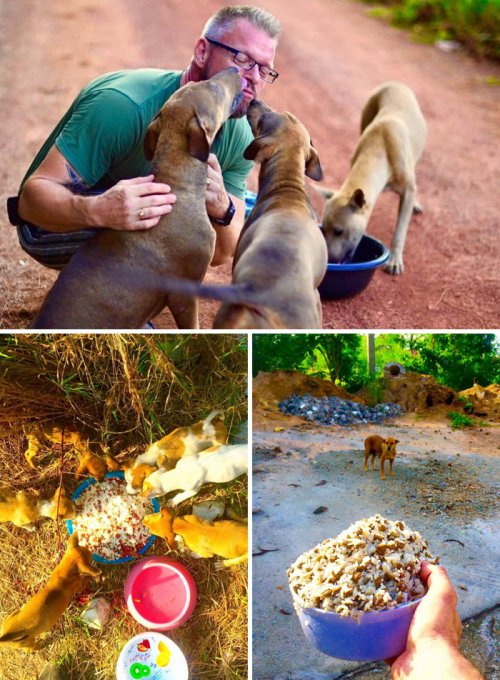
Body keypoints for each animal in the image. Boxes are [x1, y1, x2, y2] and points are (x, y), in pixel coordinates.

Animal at [320, 83, 426, 274]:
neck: (380, 147)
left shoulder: (408, 190)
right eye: (323, 230)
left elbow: (400, 230)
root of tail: (394, 84)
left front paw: (395, 260)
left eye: (339, 231)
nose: (330, 261)